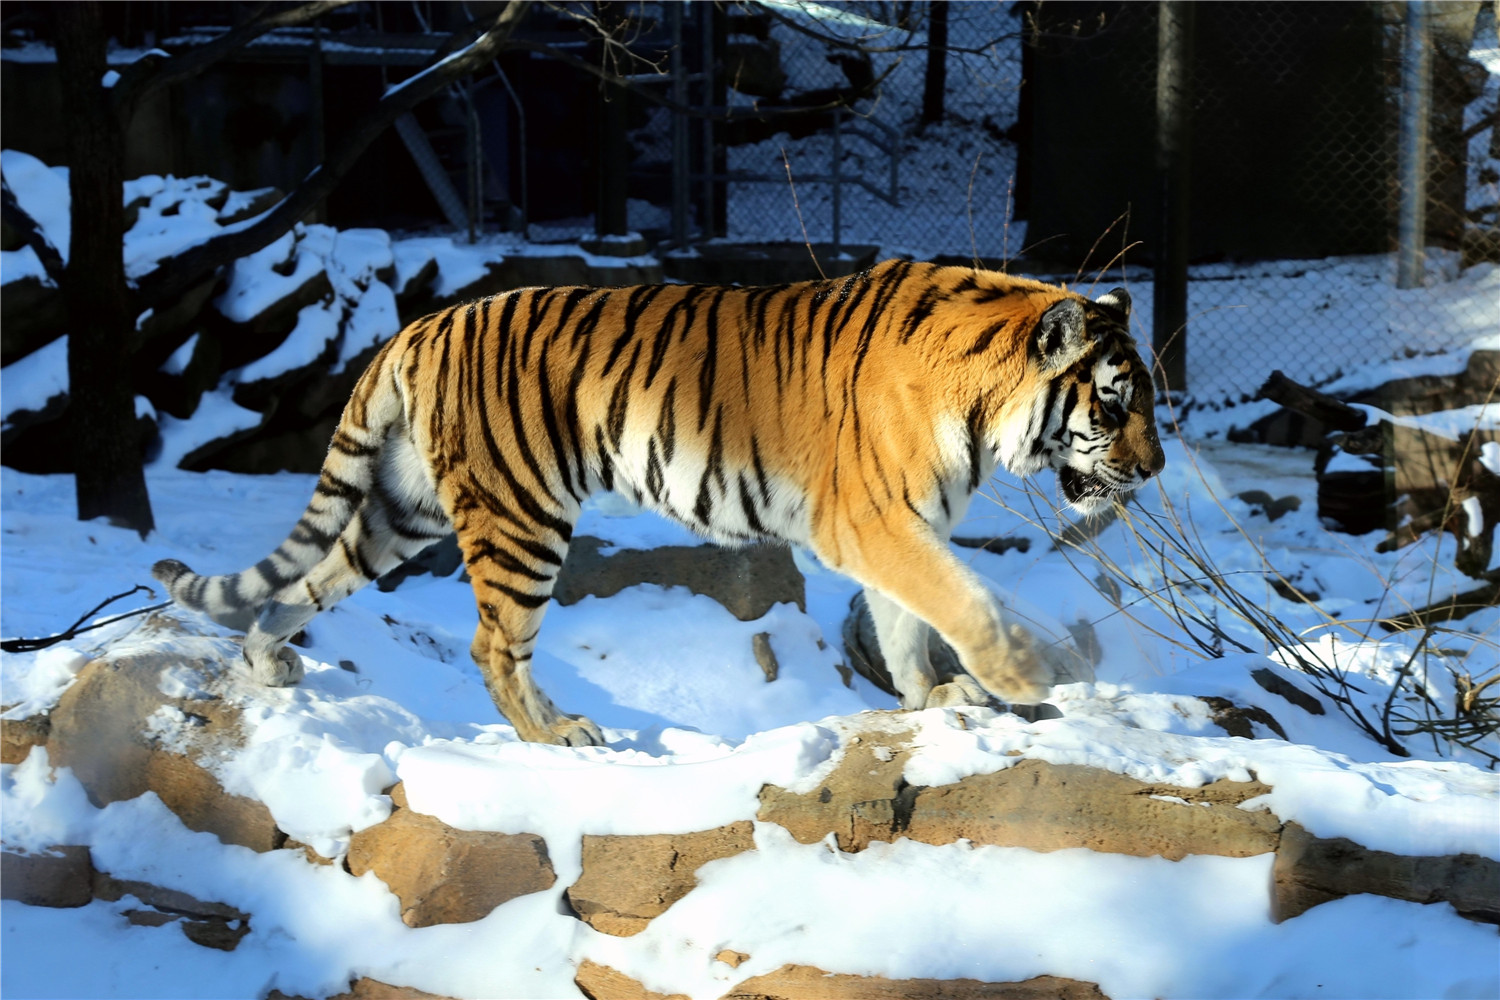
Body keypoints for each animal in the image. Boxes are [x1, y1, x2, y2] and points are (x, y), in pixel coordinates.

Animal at [154, 259, 1164, 746]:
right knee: (493, 643)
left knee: (312, 578)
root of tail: (422, 323)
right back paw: (556, 735)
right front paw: (1025, 676)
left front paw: (930, 697)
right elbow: (964, 600)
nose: (1155, 469)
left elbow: (906, 620)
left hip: (407, 511)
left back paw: (266, 662)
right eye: (1117, 403)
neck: (986, 406)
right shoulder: (873, 520)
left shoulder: (898, 528)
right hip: (520, 516)